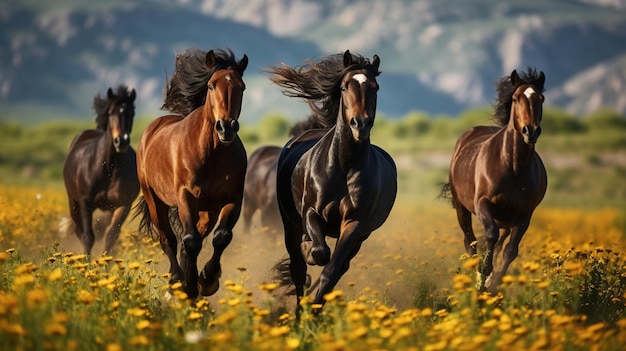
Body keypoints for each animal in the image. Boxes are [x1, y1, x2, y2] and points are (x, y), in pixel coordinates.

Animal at [61, 84, 138, 256]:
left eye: (131, 113)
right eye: (111, 112)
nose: (121, 141)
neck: (109, 169)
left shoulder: (123, 204)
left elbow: (111, 235)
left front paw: (105, 260)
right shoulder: (85, 202)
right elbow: (88, 237)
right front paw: (86, 261)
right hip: (73, 202)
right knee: (79, 230)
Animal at [135, 48, 249, 298]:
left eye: (242, 86)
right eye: (211, 86)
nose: (226, 127)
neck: (212, 154)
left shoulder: (233, 199)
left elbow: (221, 237)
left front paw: (207, 280)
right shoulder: (185, 196)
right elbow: (190, 241)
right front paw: (188, 286)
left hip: (207, 210)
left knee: (199, 234)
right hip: (154, 198)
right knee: (168, 238)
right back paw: (176, 280)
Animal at [266, 51, 394, 312]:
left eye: (375, 87)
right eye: (344, 87)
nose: (360, 124)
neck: (344, 166)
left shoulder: (355, 224)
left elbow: (331, 270)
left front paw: (315, 309)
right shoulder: (310, 212)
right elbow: (318, 252)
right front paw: (308, 250)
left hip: (362, 237)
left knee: (339, 267)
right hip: (289, 223)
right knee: (297, 268)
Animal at [438, 69, 544, 294]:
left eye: (541, 98)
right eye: (516, 98)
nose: (530, 131)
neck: (514, 167)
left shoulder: (524, 215)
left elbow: (510, 250)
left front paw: (493, 283)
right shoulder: (483, 204)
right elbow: (490, 236)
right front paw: (483, 274)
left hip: (506, 219)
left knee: (497, 243)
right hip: (462, 208)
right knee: (470, 241)